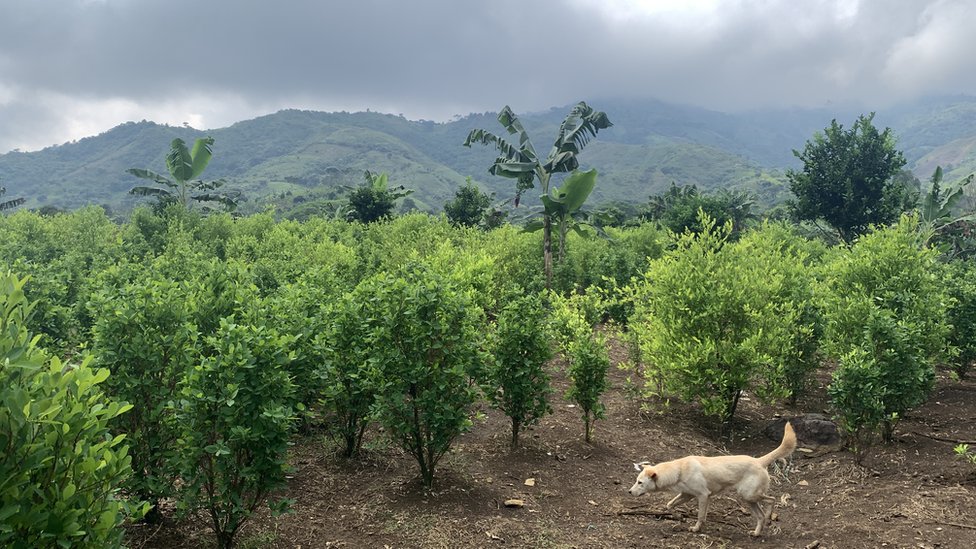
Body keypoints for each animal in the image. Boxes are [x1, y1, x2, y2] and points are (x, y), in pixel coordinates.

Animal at [628, 420, 796, 536]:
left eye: (640, 482)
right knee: (760, 516)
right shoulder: (687, 495)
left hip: (749, 495)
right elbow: (670, 505)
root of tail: (759, 460)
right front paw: (677, 516)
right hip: (748, 499)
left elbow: (700, 515)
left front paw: (696, 528)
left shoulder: (703, 495)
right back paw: (756, 533)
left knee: (772, 500)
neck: (679, 470)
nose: (629, 492)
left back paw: (768, 516)